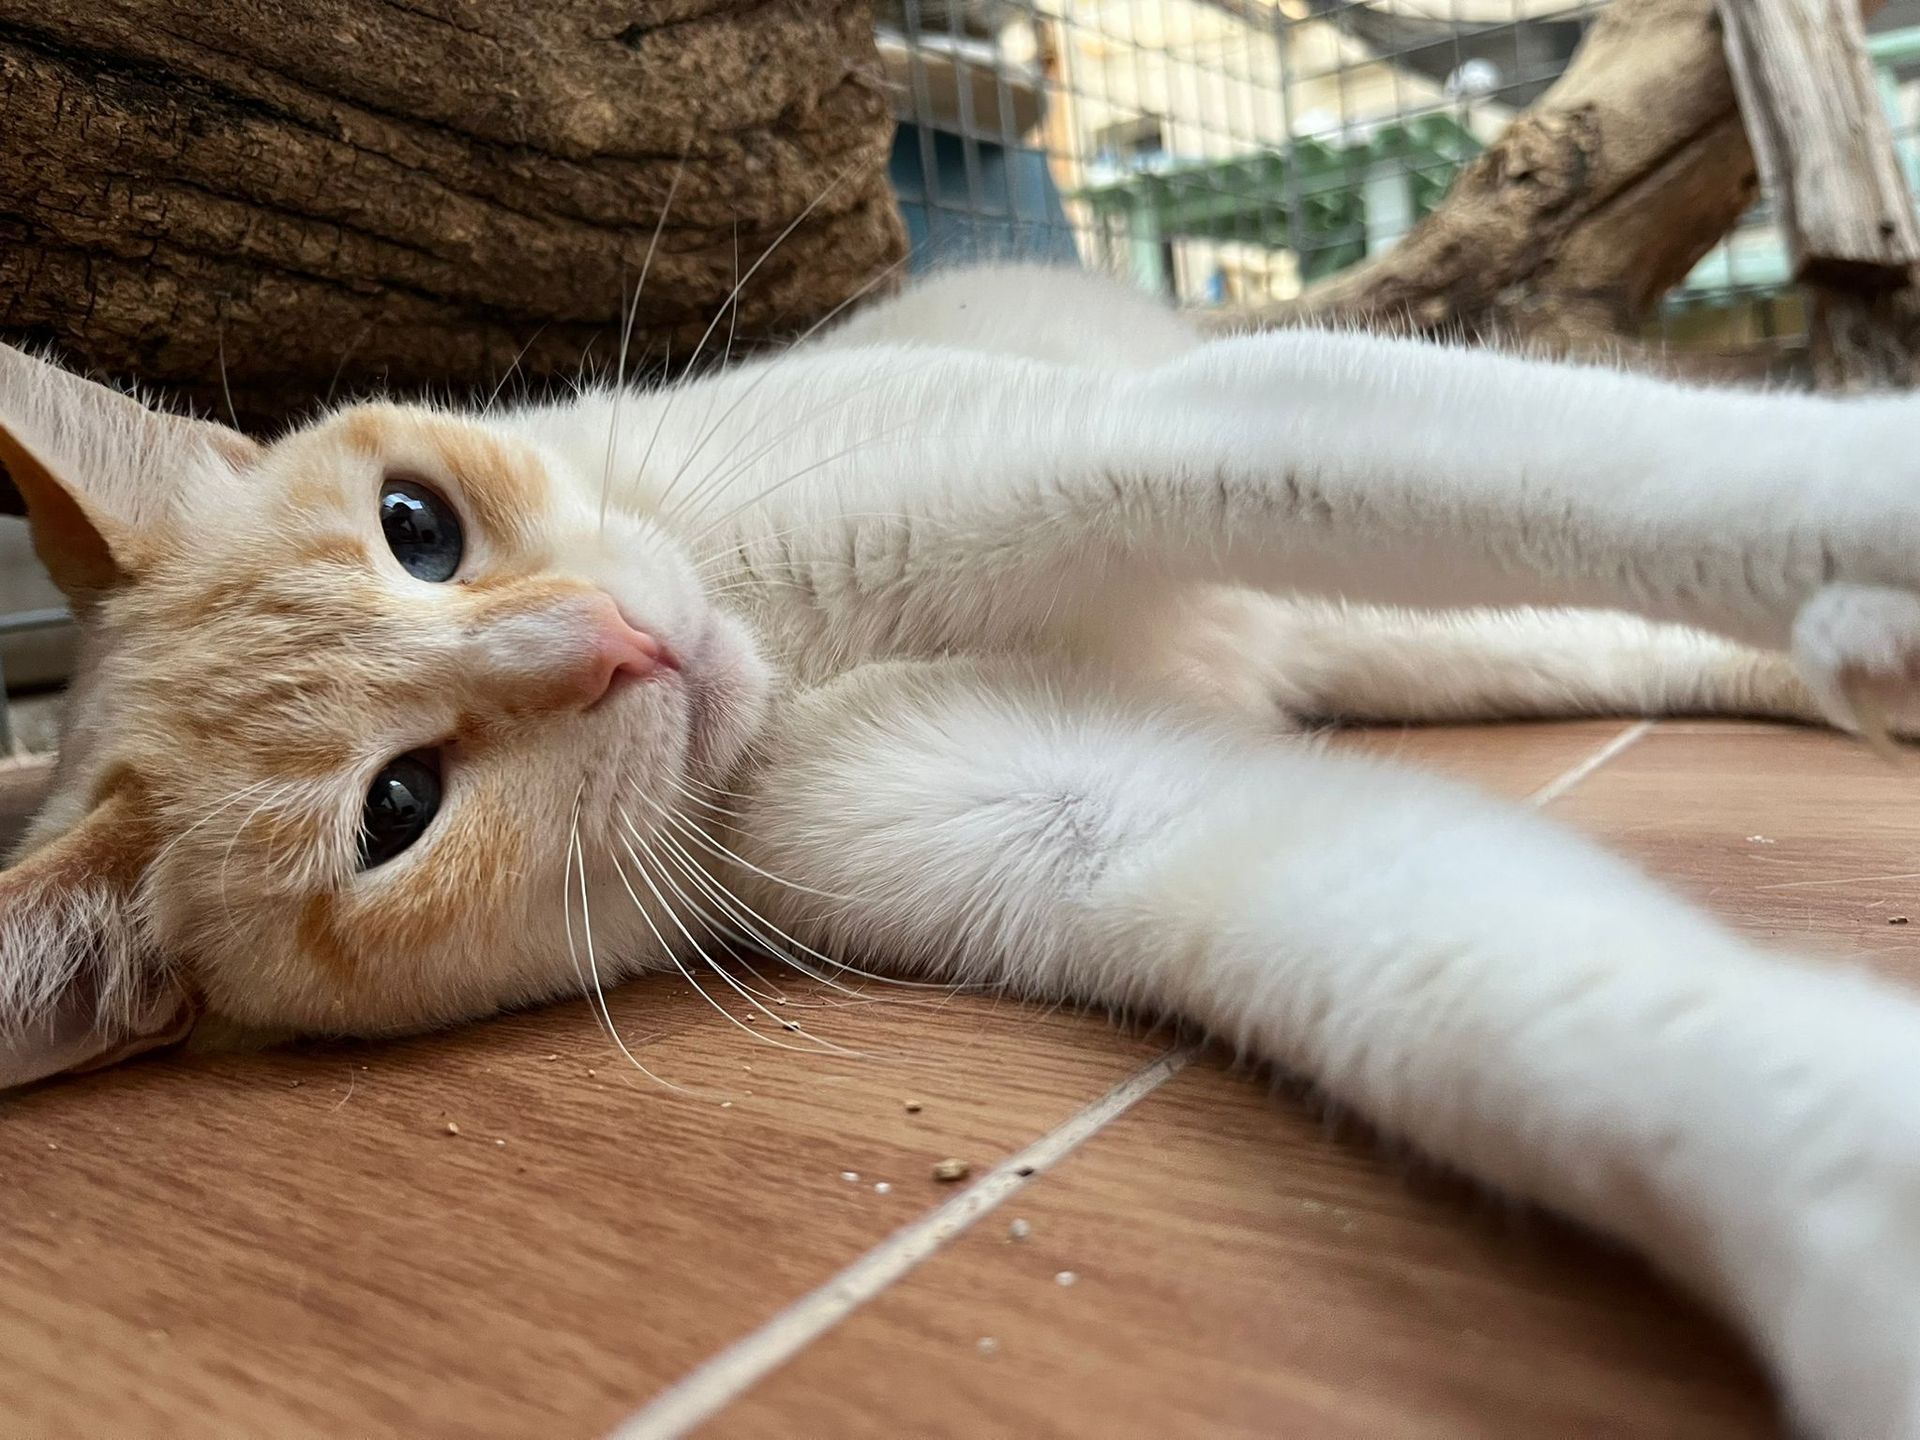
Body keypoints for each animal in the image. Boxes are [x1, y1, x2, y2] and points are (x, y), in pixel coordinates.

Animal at [6, 262, 1920, 1436]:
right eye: (394, 811)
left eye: (418, 524)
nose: (618, 649)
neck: (782, 649)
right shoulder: (1102, 823)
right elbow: (1524, 1004)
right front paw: (1854, 1211)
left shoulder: (1164, 431)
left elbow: (1671, 477)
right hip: (1443, 654)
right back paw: (1866, 673)